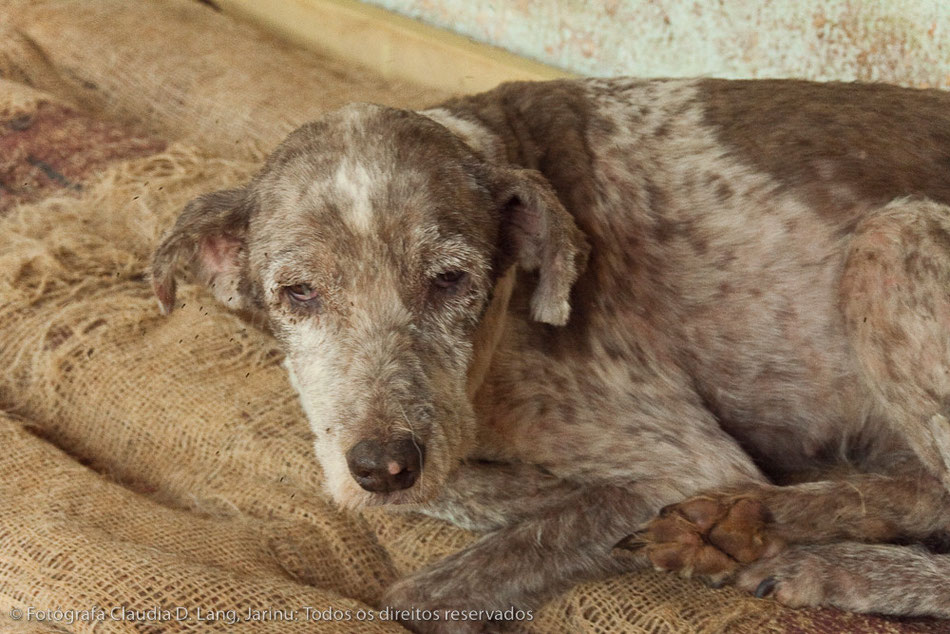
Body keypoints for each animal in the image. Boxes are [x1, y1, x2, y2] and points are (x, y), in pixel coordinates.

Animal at [152, 80, 950, 632]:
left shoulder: (688, 459)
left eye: (451, 280)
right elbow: (450, 485)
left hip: (893, 236)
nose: (384, 465)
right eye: (299, 293)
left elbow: (426, 589)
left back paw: (810, 555)